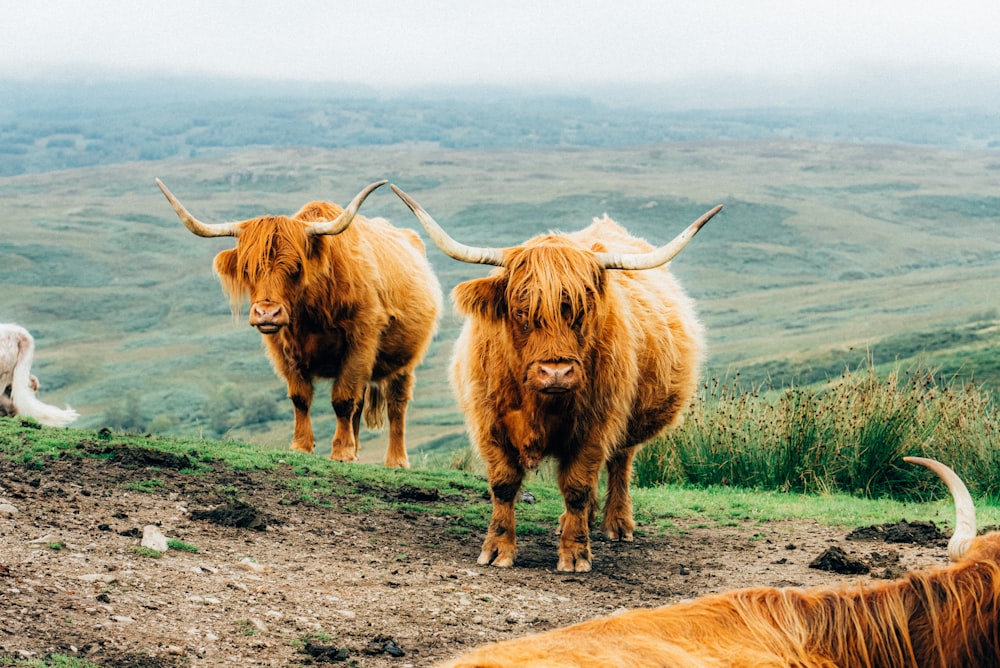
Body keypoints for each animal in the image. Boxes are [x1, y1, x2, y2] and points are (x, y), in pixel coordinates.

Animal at [159, 180, 442, 468]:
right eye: (248, 268)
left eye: (296, 267)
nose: (267, 313)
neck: (311, 312)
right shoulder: (283, 350)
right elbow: (301, 397)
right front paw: (302, 446)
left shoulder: (359, 344)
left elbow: (342, 400)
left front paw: (341, 451)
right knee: (361, 402)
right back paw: (356, 450)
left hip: (404, 360)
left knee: (397, 405)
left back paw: (395, 460)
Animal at [390, 185, 720, 572]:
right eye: (521, 312)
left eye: (581, 312)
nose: (557, 372)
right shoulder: (489, 421)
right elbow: (503, 484)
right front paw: (497, 549)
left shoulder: (595, 425)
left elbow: (577, 485)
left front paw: (575, 554)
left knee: (620, 462)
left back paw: (616, 524)